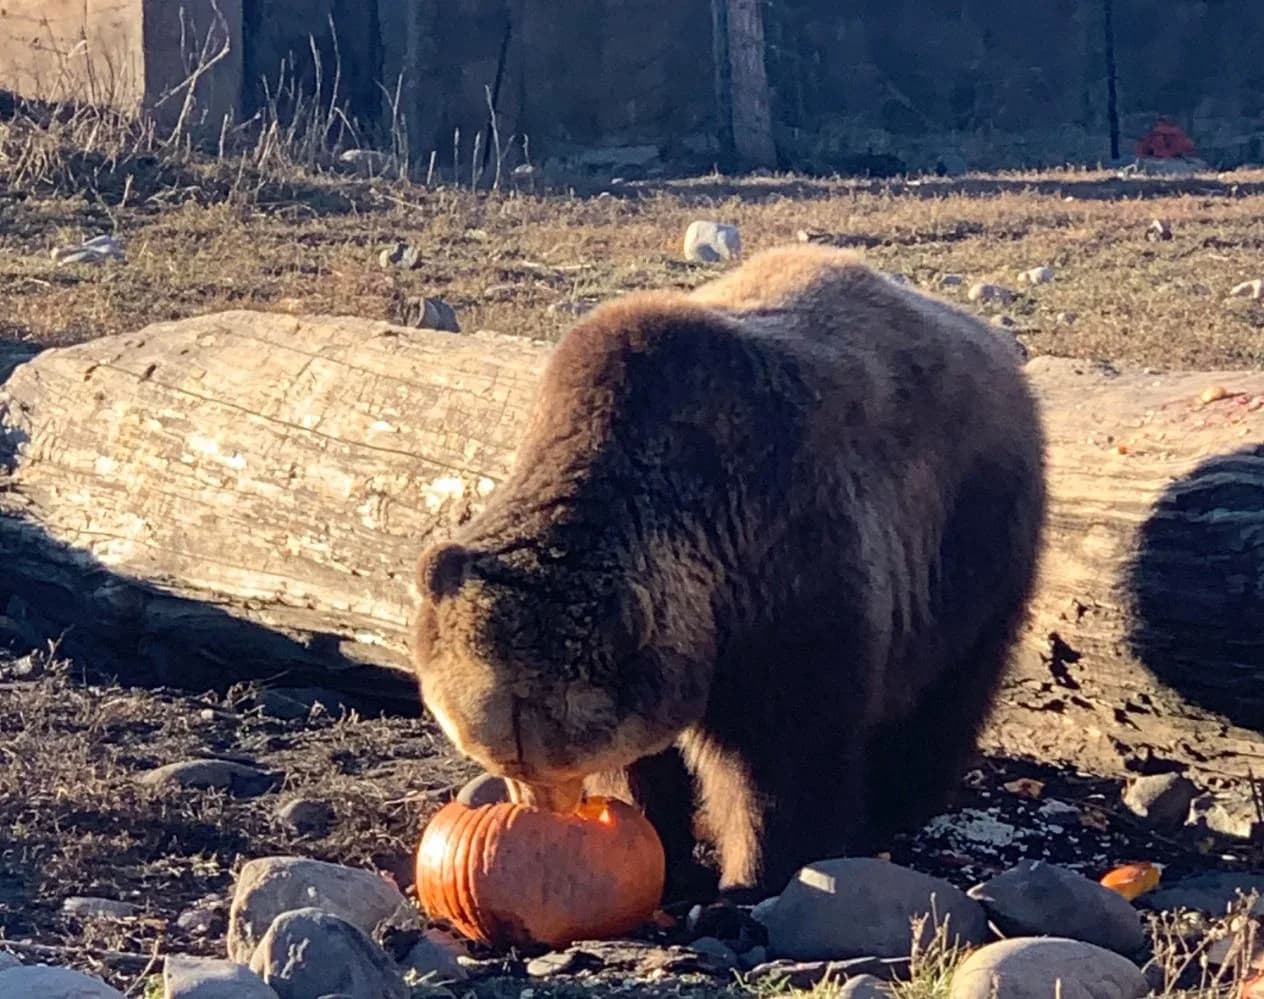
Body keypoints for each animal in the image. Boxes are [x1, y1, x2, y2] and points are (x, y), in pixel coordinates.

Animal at [411, 243, 1047, 900]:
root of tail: (995, 347)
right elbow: (640, 763)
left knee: (951, 684)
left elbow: (783, 757)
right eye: (489, 749)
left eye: (537, 749)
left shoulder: (788, 573)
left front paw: (753, 876)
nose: (540, 809)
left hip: (972, 532)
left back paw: (901, 801)